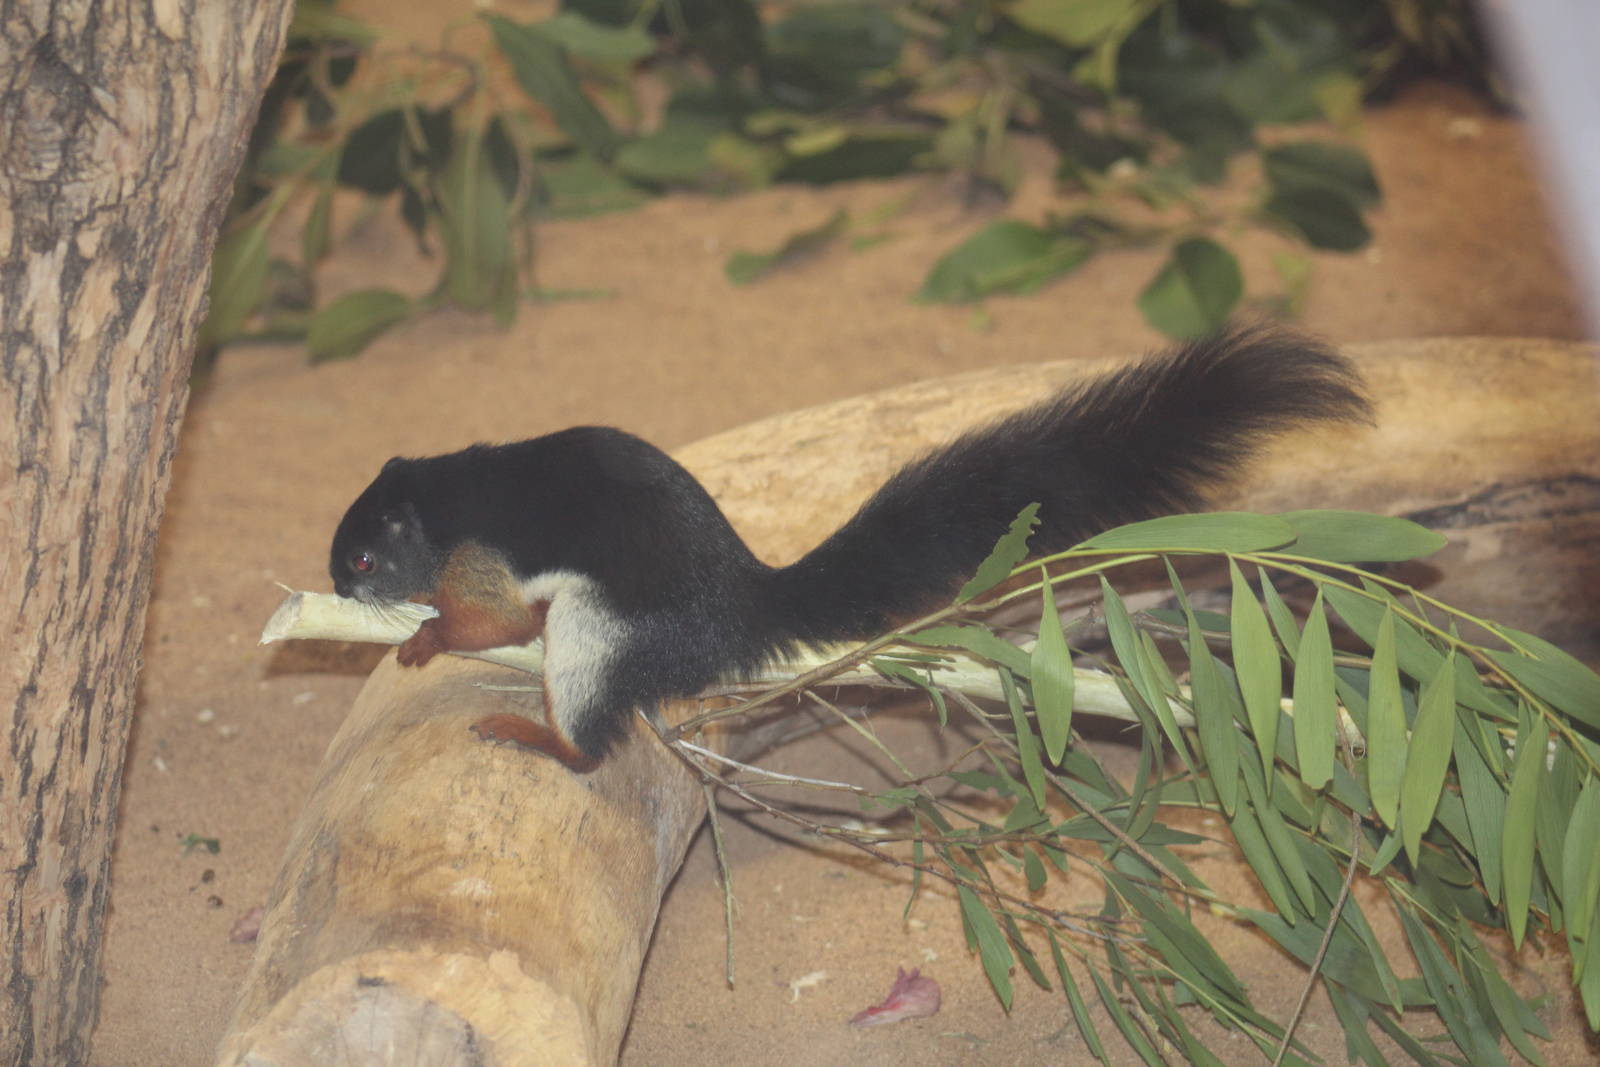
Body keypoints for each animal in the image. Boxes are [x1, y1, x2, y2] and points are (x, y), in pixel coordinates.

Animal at [329, 324, 1369, 773]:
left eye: (366, 561)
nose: (333, 581)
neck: (442, 501)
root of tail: (747, 606)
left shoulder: (483, 559)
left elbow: (493, 618)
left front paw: (424, 637)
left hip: (596, 631)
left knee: (588, 733)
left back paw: (535, 735)